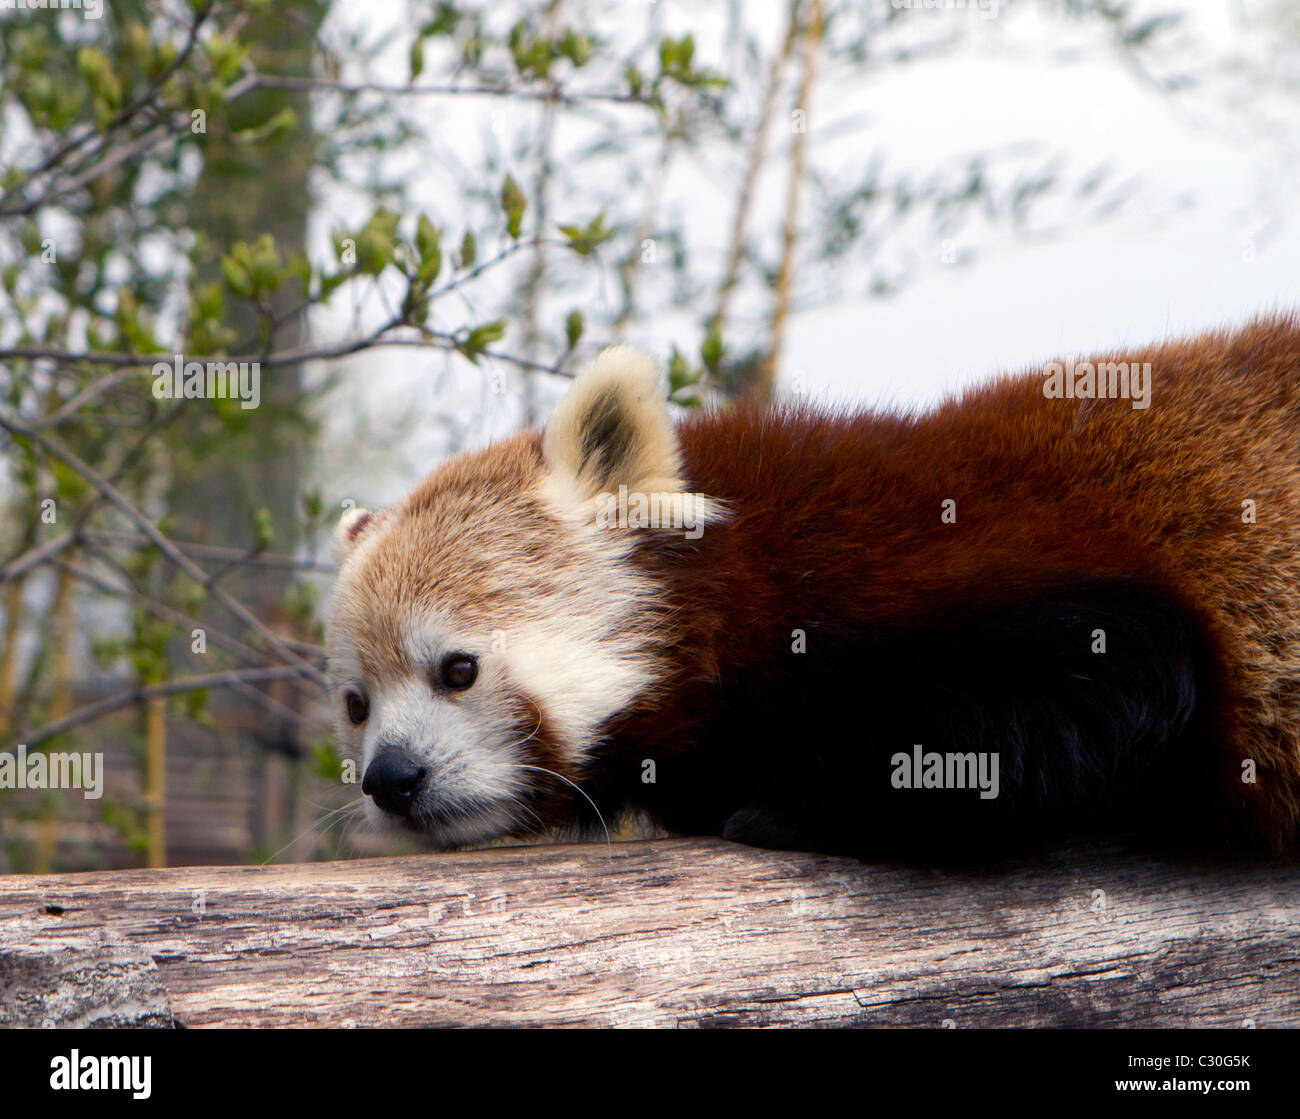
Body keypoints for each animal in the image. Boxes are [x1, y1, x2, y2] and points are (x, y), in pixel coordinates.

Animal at [327, 311, 1300, 857]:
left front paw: (785, 804)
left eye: (458, 669)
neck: (754, 568)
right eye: (356, 704)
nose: (391, 779)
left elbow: (1099, 688)